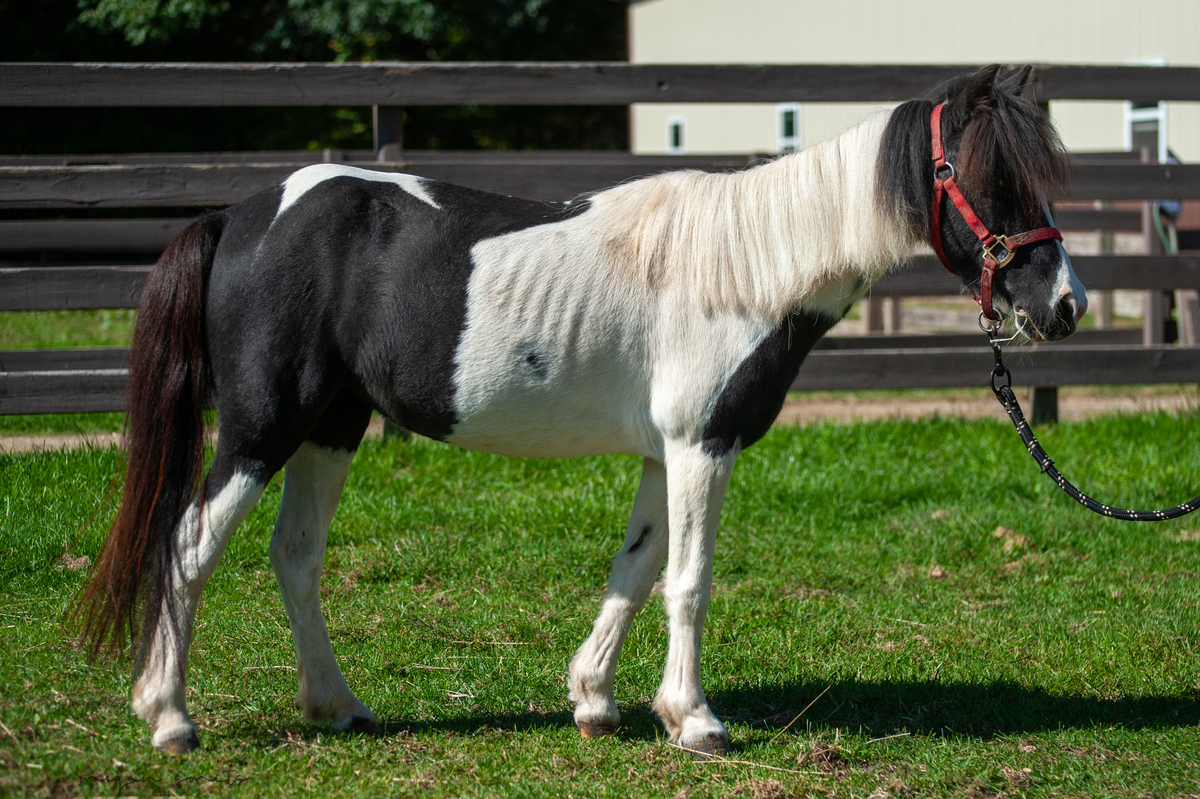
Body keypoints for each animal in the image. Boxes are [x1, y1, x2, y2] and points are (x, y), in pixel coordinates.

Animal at [76, 64, 1086, 756]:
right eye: (991, 180)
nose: (1065, 305)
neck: (745, 266)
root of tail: (238, 217)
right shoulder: (702, 445)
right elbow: (688, 581)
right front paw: (698, 721)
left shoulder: (662, 453)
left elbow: (633, 572)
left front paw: (597, 700)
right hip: (262, 428)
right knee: (188, 546)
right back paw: (169, 717)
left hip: (331, 428)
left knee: (295, 557)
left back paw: (337, 705)